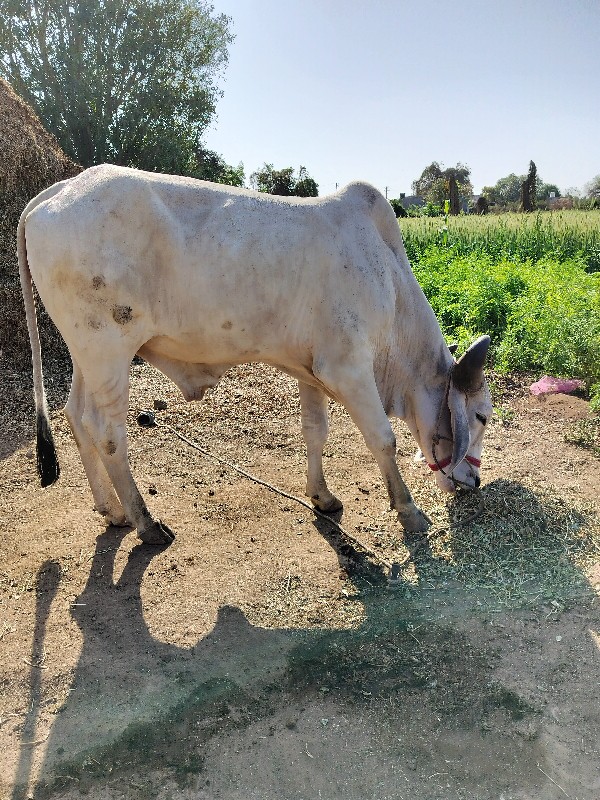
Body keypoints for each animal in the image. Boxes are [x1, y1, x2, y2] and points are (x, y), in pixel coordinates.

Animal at [19, 166, 492, 548]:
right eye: (482, 416)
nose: (474, 481)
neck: (390, 286)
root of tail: (58, 190)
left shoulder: (312, 371)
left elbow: (315, 432)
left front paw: (322, 496)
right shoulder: (349, 369)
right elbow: (383, 439)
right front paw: (409, 510)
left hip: (87, 357)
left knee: (76, 416)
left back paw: (112, 510)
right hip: (108, 352)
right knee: (107, 432)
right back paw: (145, 522)